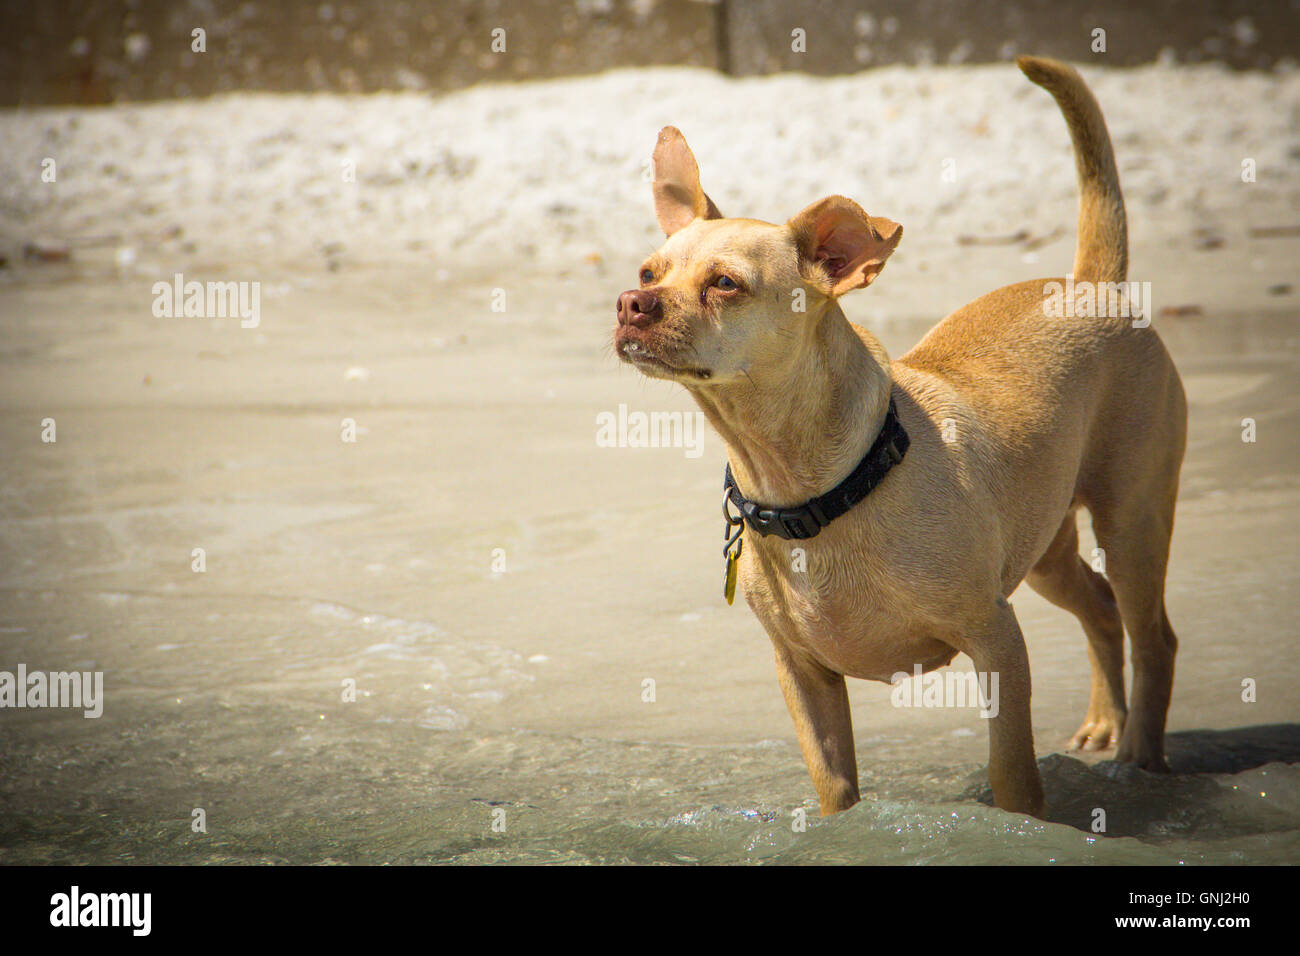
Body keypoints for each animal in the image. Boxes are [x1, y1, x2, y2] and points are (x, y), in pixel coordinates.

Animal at [613, 54, 1185, 816]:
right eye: (648, 272)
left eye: (726, 284)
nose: (630, 303)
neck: (816, 487)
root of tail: (1092, 285)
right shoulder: (803, 674)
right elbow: (835, 788)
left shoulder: (996, 642)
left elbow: (1011, 772)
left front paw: (1024, 823)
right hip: (1044, 546)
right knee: (1099, 607)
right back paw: (1106, 725)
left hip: (1132, 521)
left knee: (1153, 636)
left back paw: (1140, 760)